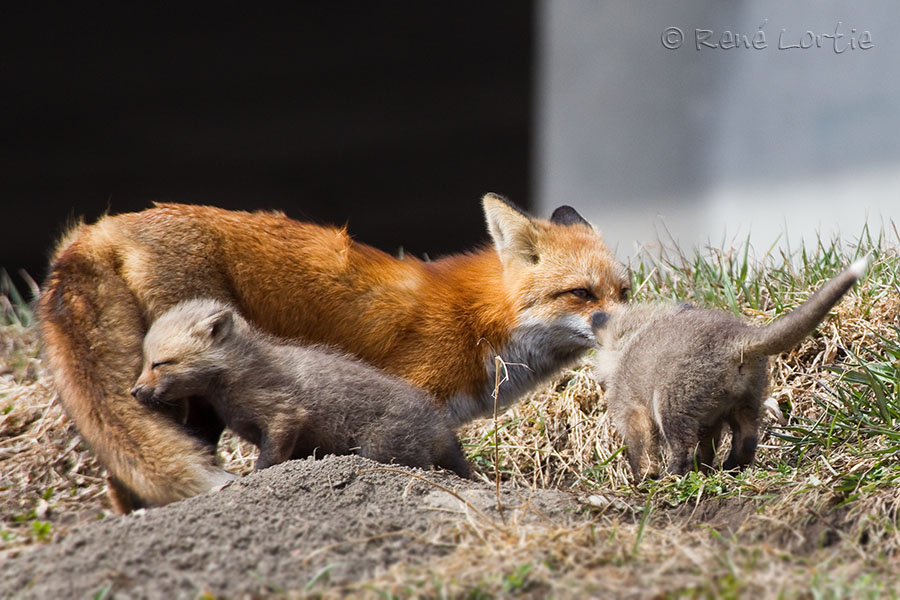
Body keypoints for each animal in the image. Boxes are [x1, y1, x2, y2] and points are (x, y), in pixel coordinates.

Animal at [37, 193, 624, 510]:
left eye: (623, 291)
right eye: (581, 294)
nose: (633, 327)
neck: (482, 322)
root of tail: (100, 229)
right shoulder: (412, 398)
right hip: (184, 398)